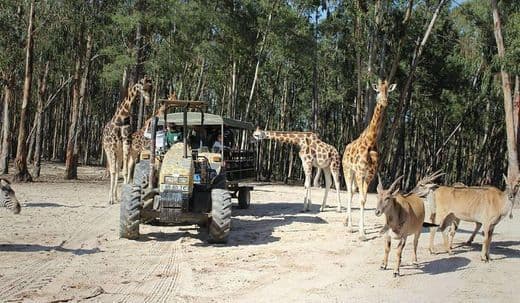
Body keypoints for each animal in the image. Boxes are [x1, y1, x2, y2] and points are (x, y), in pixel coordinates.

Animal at [102, 77, 152, 205]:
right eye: (144, 87)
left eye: (151, 87)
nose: (148, 102)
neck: (121, 119)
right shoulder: (112, 147)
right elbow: (113, 172)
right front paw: (110, 199)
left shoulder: (126, 144)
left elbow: (124, 171)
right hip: (108, 150)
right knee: (112, 169)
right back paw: (111, 198)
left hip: (119, 152)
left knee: (118, 168)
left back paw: (116, 197)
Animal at [344, 79, 396, 241]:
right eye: (377, 90)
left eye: (388, 91)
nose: (384, 101)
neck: (371, 142)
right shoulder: (361, 173)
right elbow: (362, 199)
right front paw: (361, 234)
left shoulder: (369, 175)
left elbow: (364, 199)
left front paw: (363, 231)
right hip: (348, 171)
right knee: (349, 192)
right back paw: (349, 227)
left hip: (356, 175)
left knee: (353, 192)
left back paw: (347, 222)